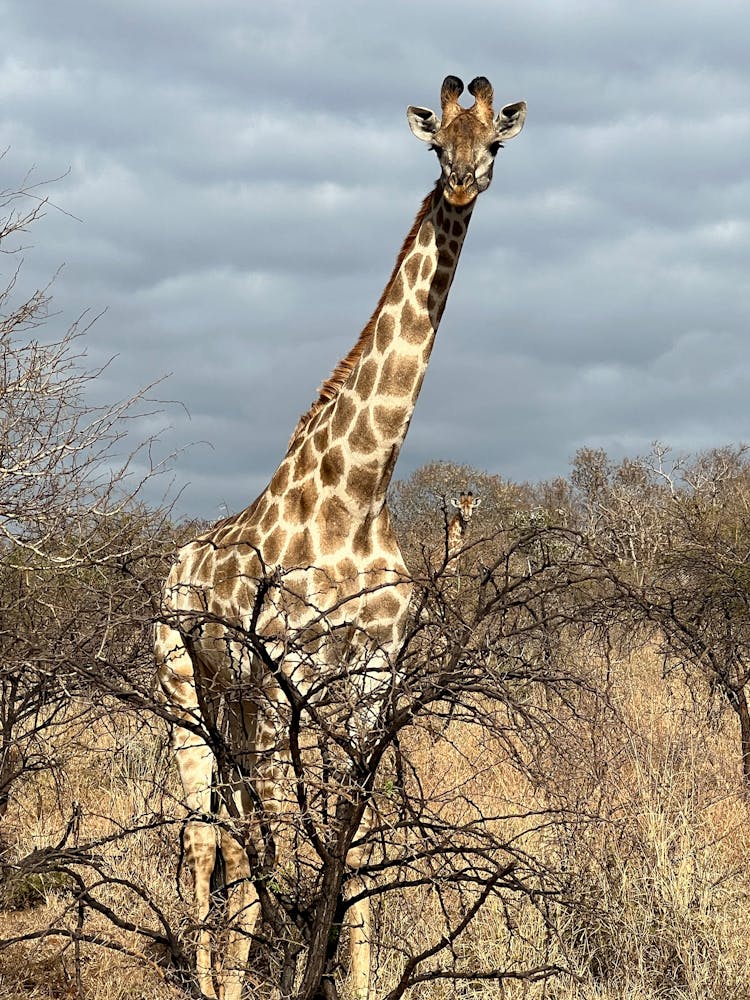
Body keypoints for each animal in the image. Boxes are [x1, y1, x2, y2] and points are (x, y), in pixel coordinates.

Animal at [156, 74, 524, 996]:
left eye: (494, 142)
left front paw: (345, 979)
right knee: (207, 832)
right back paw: (212, 980)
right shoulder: (281, 672)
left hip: (231, 699)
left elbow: (352, 845)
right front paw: (276, 978)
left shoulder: (369, 679)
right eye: (436, 142)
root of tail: (171, 566)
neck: (359, 494)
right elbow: (286, 849)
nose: (462, 180)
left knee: (231, 832)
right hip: (181, 678)